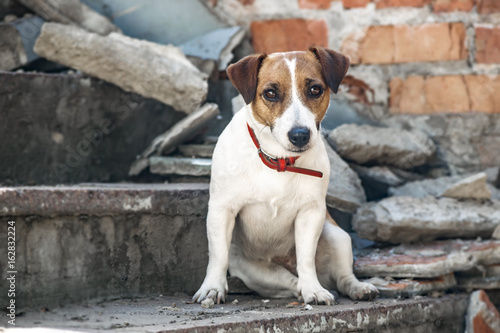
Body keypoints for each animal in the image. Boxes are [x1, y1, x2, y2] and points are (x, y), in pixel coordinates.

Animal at [193, 46, 376, 304]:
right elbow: (218, 256)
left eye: (315, 89)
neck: (278, 160)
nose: (299, 135)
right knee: (291, 283)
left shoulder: (311, 213)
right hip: (257, 272)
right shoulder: (222, 209)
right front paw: (212, 288)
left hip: (336, 235)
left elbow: (306, 259)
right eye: (270, 93)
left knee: (340, 277)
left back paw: (355, 288)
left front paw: (314, 290)